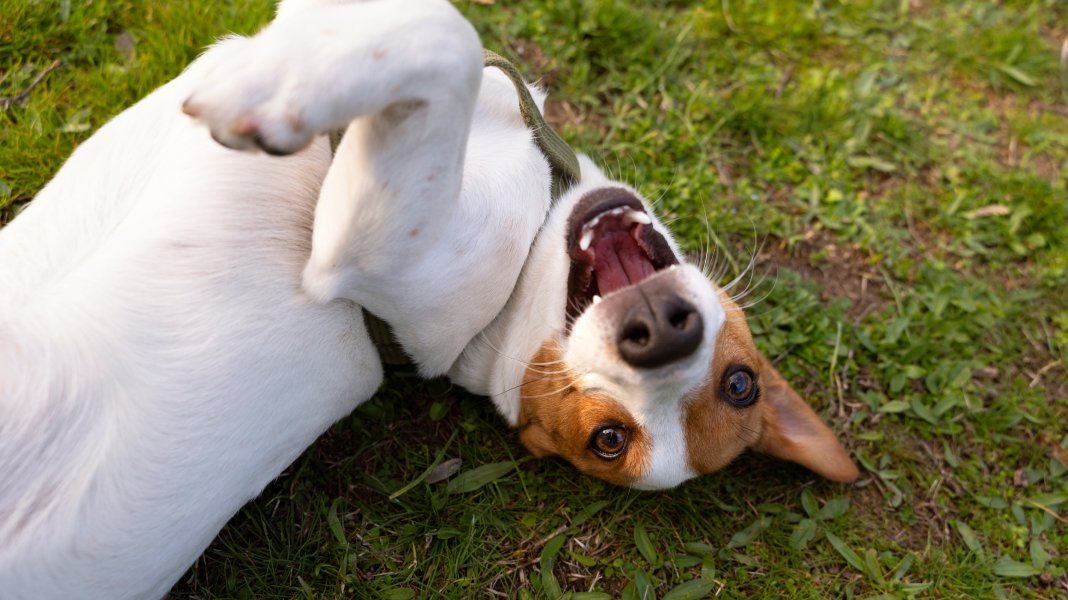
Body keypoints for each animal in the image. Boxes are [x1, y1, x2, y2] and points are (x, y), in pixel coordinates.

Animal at [0, 2, 858, 593]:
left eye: (606, 440)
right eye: (742, 383)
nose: (661, 331)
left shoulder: (361, 247)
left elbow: (448, 35)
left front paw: (277, 91)